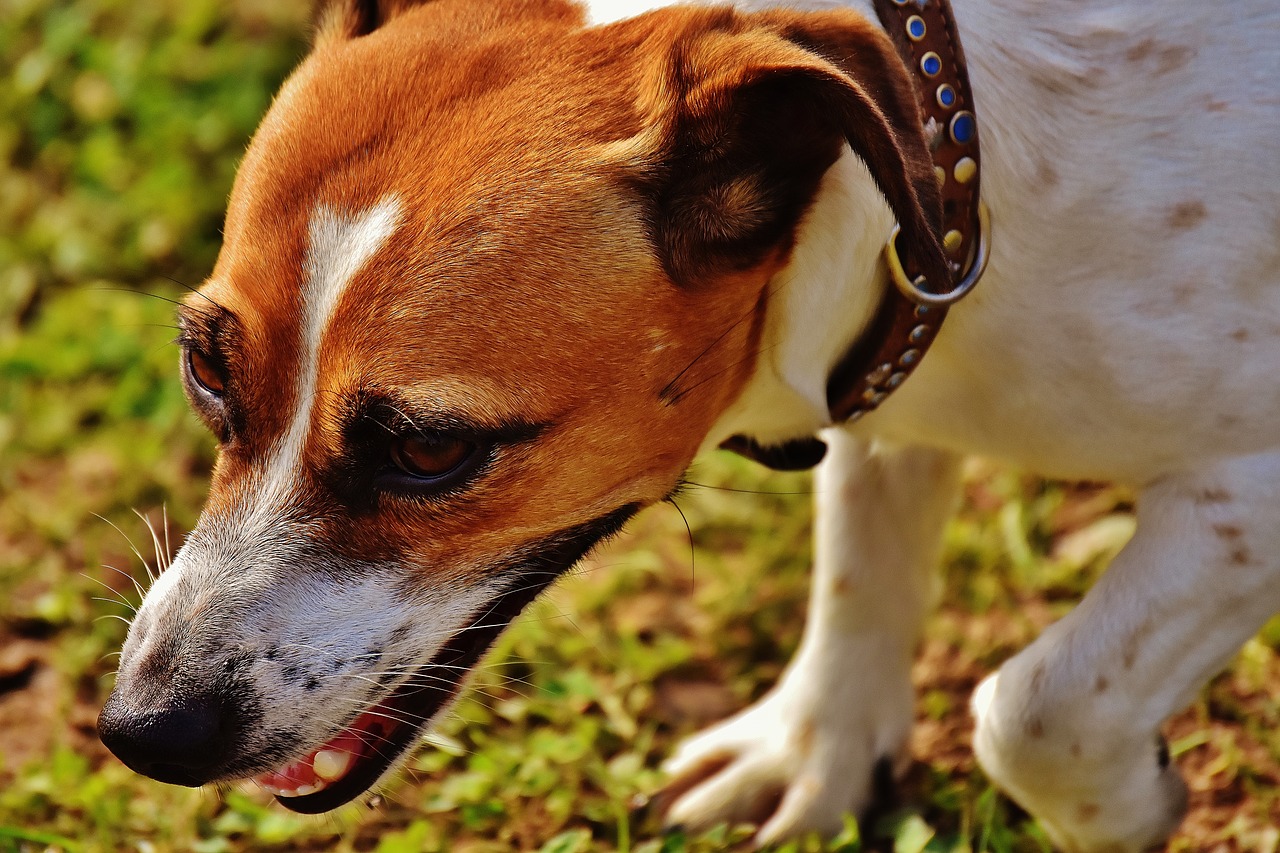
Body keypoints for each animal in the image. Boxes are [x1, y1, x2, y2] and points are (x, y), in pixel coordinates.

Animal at [97, 1, 1280, 845]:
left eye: (430, 448)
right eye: (206, 369)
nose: (145, 730)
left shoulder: (1242, 503)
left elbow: (1038, 708)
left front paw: (1124, 812)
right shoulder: (883, 398)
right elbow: (861, 569)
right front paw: (814, 751)